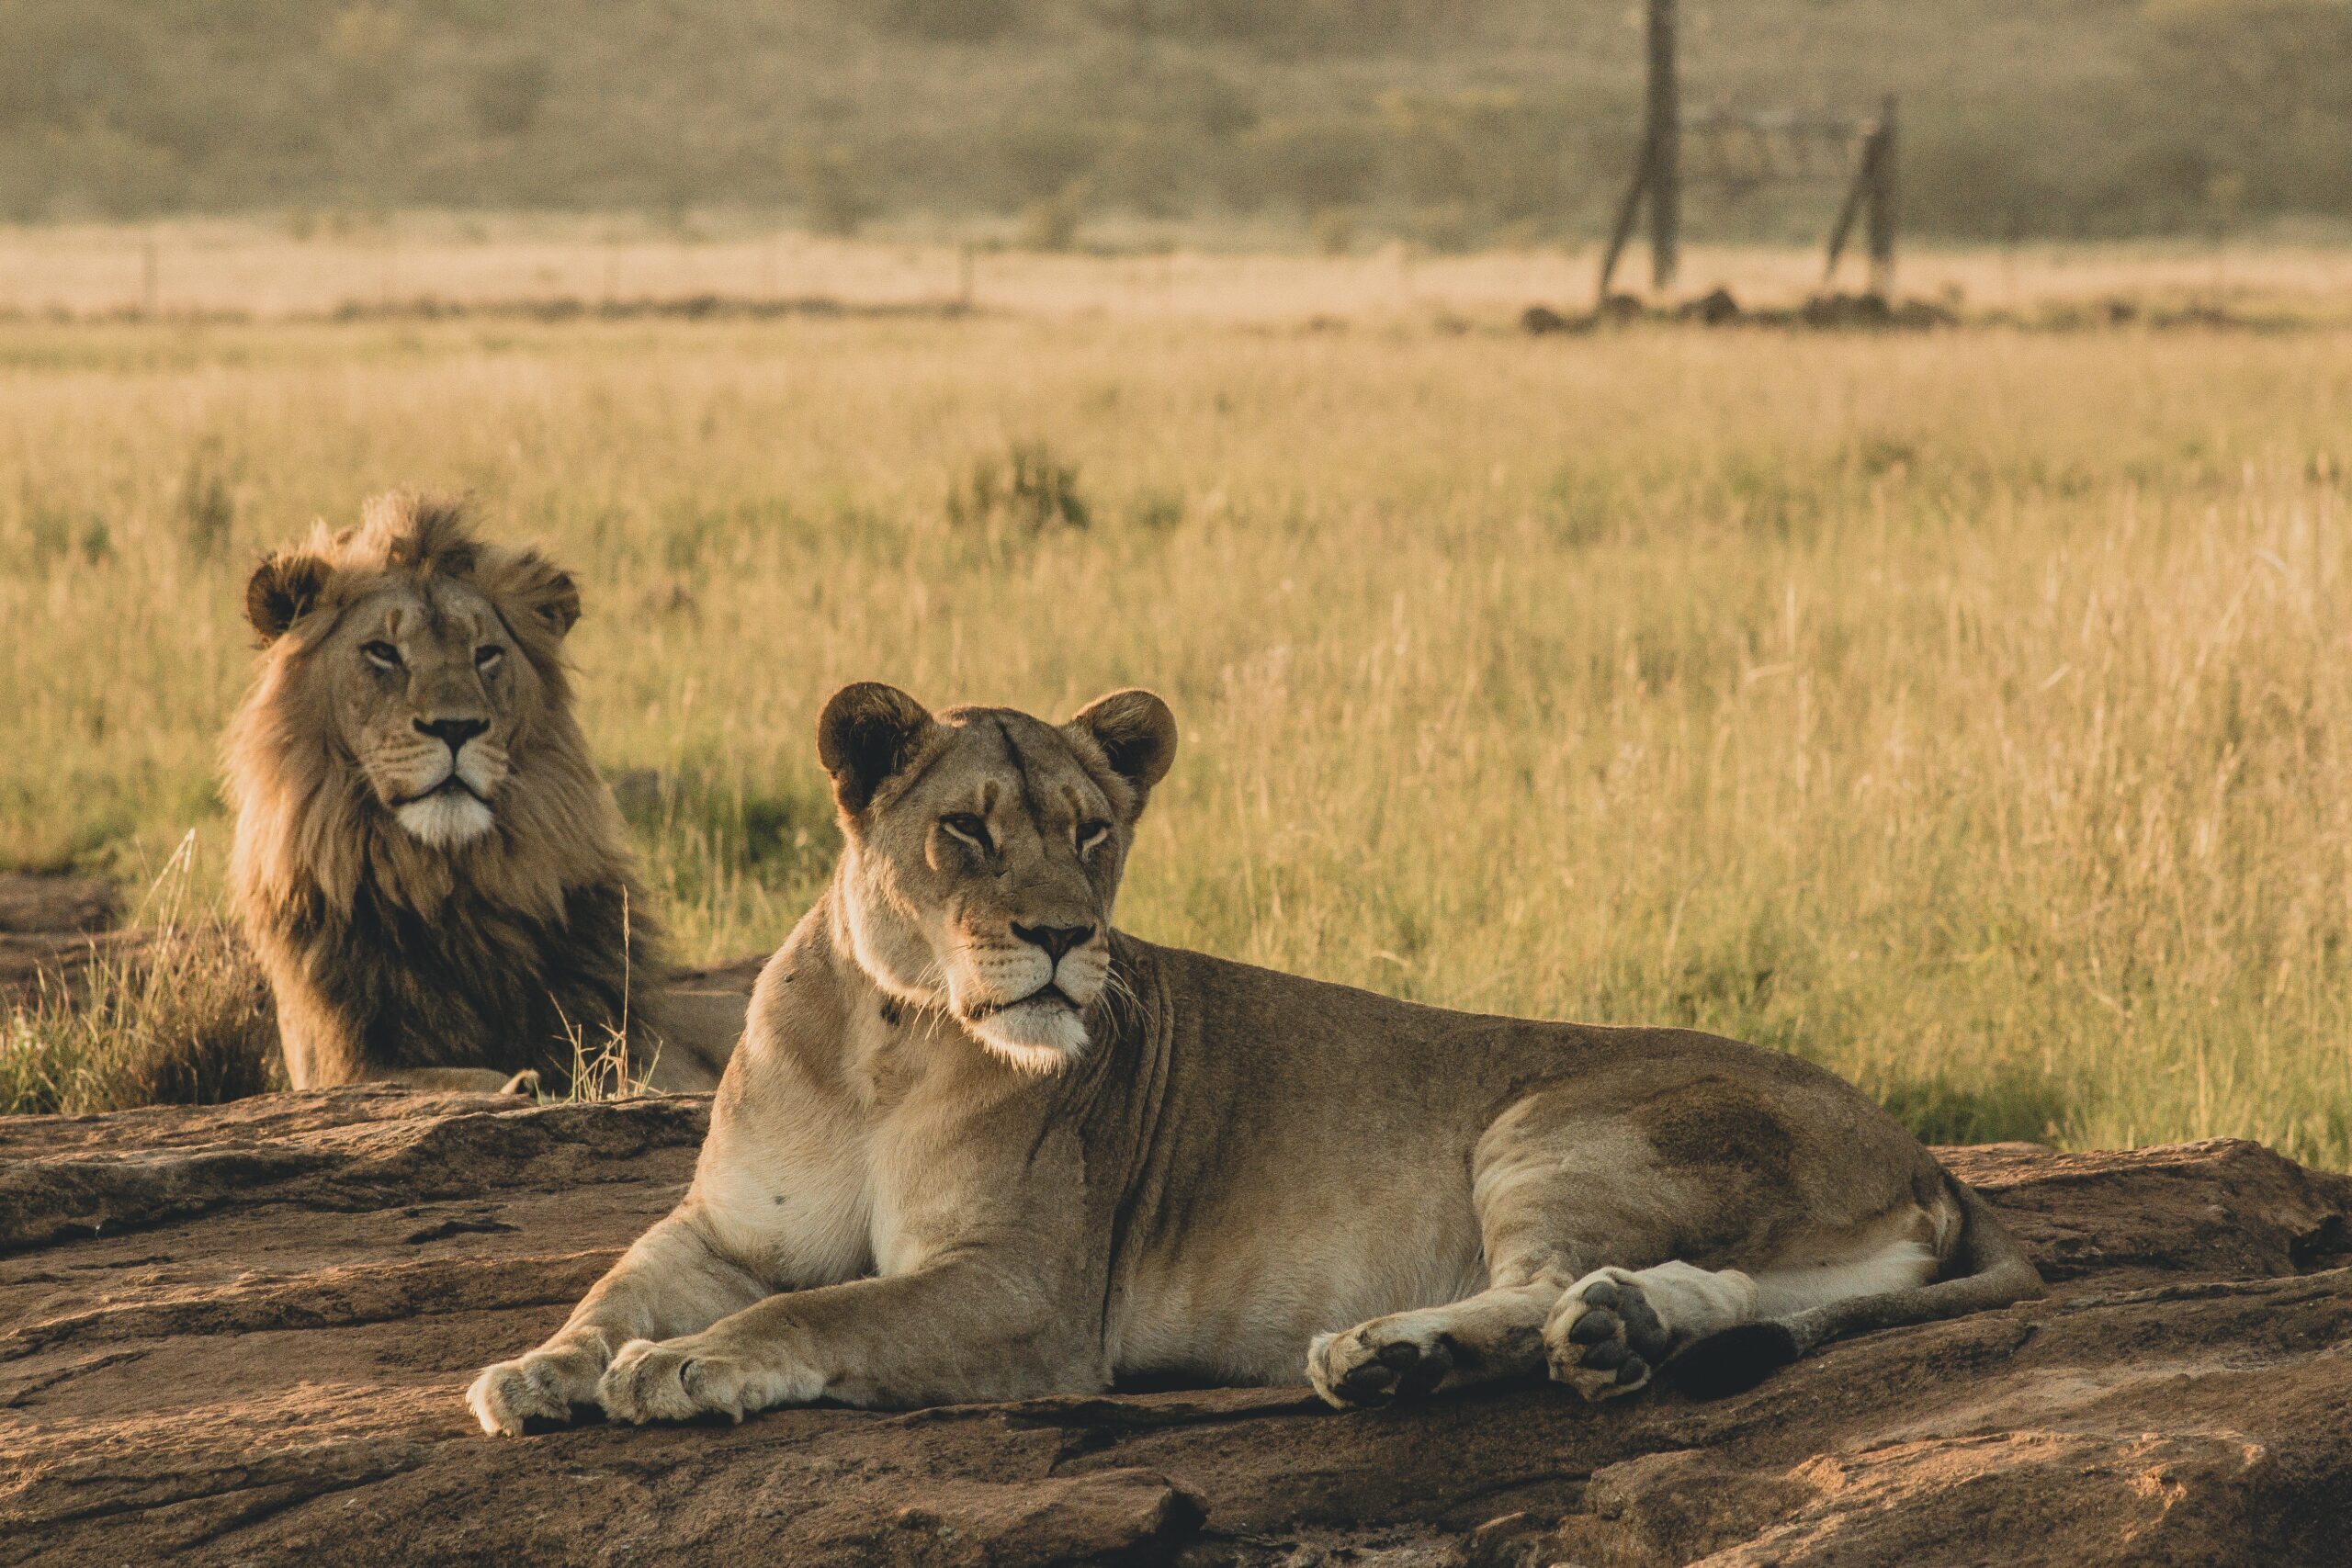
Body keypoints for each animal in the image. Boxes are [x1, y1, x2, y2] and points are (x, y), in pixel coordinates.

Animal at [230, 495, 729, 1100]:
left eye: (486, 654)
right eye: (382, 652)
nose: (456, 727)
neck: (448, 887)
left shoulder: (649, 1047)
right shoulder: (339, 1065)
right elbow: (450, 1077)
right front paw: (520, 1083)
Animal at [463, 686, 2041, 1438]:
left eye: (1093, 830)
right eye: (967, 829)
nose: (1066, 934)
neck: (886, 1038)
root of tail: (1926, 1152)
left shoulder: (1029, 1294)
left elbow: (821, 1312)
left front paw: (686, 1367)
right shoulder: (722, 1226)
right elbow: (613, 1288)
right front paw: (534, 1369)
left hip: (1552, 1118)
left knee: (1541, 1279)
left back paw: (1393, 1352)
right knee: (1705, 1291)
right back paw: (1601, 1334)